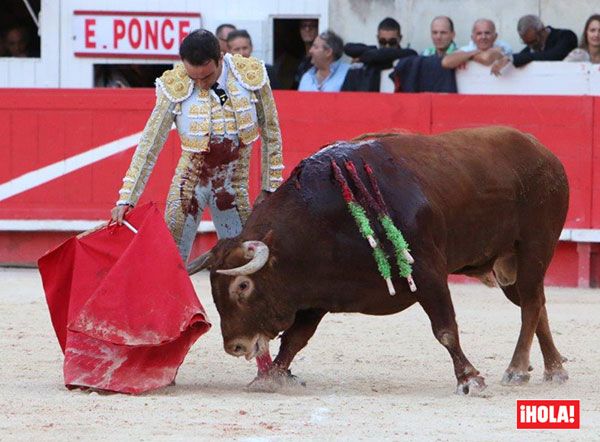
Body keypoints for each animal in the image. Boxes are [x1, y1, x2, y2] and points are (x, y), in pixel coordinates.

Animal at [190, 125, 568, 394]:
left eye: (243, 285)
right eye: (213, 291)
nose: (235, 346)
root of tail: (542, 151)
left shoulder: (428, 274)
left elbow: (445, 329)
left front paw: (469, 378)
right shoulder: (317, 292)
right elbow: (296, 337)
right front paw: (270, 378)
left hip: (534, 247)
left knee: (531, 303)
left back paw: (517, 369)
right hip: (506, 267)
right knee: (536, 304)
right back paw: (554, 368)